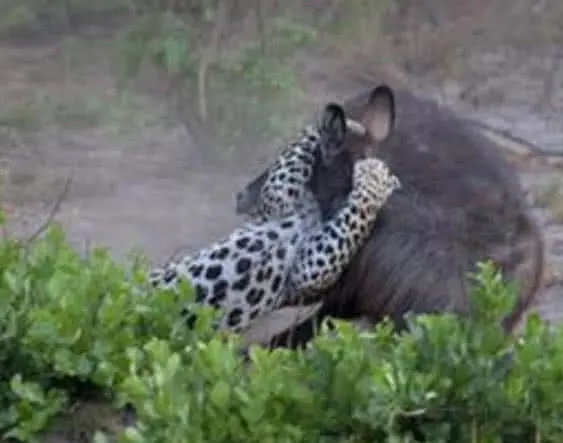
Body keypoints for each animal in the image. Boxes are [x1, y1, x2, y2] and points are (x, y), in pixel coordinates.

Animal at [145, 102, 400, 334]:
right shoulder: (279, 198)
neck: (318, 207)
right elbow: (294, 154)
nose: (239, 196)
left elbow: (355, 218)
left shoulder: (309, 269)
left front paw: (379, 175)